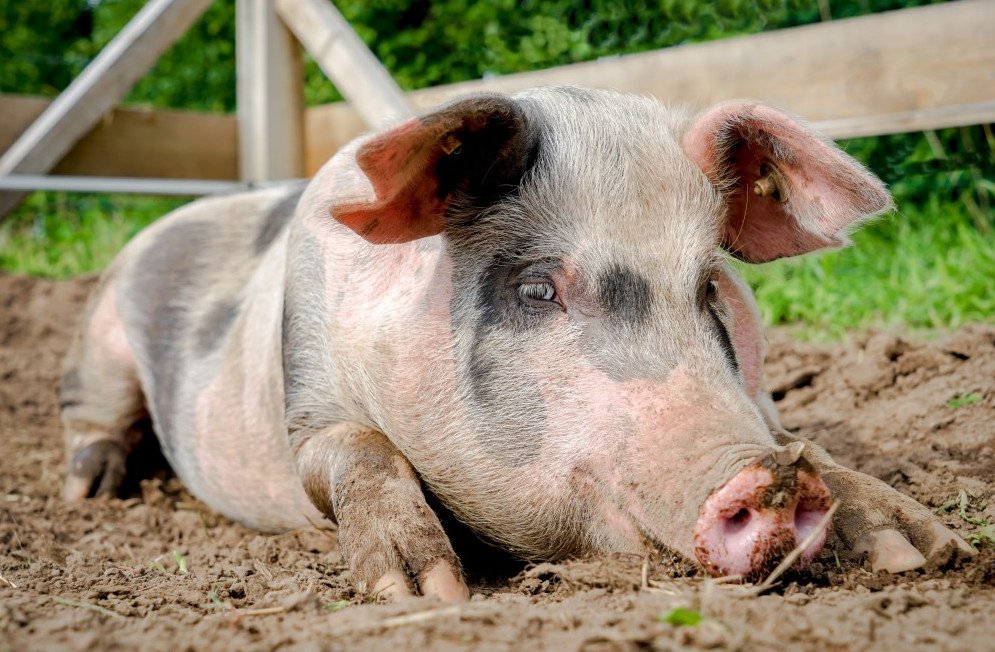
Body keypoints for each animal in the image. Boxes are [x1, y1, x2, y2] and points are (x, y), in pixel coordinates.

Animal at [60, 87, 972, 601]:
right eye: (536, 288)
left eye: (709, 287)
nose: (767, 479)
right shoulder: (304, 402)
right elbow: (355, 447)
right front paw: (422, 594)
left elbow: (806, 438)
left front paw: (922, 553)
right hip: (98, 335)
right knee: (92, 414)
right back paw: (87, 493)